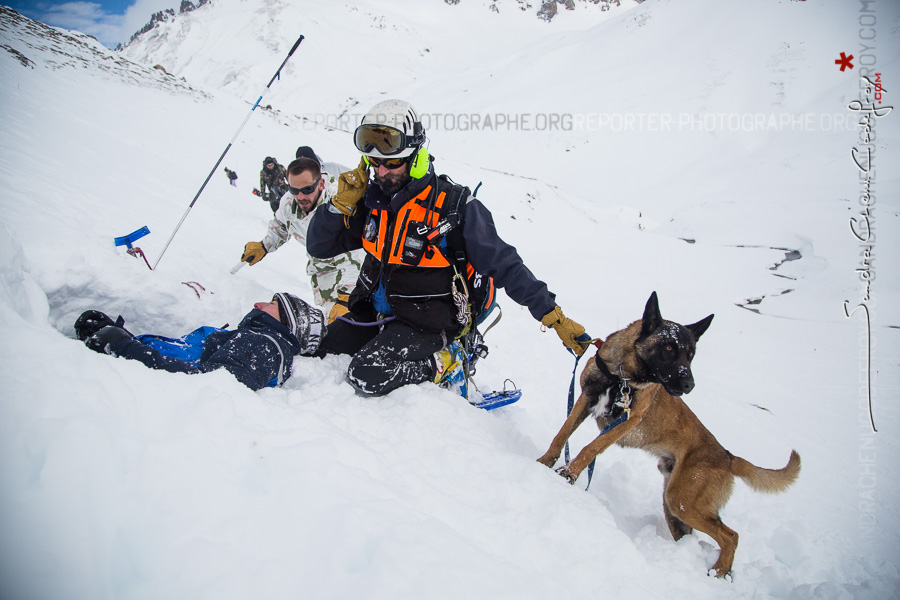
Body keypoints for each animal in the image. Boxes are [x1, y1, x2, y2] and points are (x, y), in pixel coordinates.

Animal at [536, 292, 800, 580]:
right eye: (670, 349)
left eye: (691, 354)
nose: (689, 385)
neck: (622, 375)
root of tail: (728, 456)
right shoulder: (586, 398)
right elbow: (562, 434)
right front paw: (544, 463)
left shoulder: (628, 420)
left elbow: (590, 448)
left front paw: (568, 475)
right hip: (675, 509)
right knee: (697, 535)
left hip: (682, 500)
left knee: (731, 536)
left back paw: (718, 572)